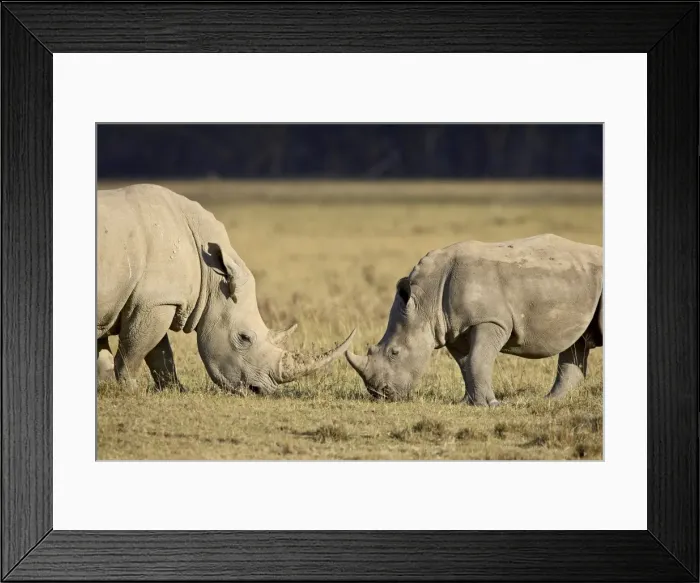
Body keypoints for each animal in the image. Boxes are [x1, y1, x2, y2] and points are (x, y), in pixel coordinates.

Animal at [97, 183, 355, 394]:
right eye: (244, 338)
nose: (261, 390)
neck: (211, 276)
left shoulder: (158, 299)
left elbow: (159, 352)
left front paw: (175, 390)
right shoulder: (156, 301)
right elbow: (135, 348)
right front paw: (129, 390)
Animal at [345, 234, 602, 406]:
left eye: (394, 352)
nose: (379, 394)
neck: (426, 301)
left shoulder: (489, 320)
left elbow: (477, 359)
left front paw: (489, 405)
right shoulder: (452, 329)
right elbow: (466, 363)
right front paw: (471, 402)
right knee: (577, 342)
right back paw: (551, 401)